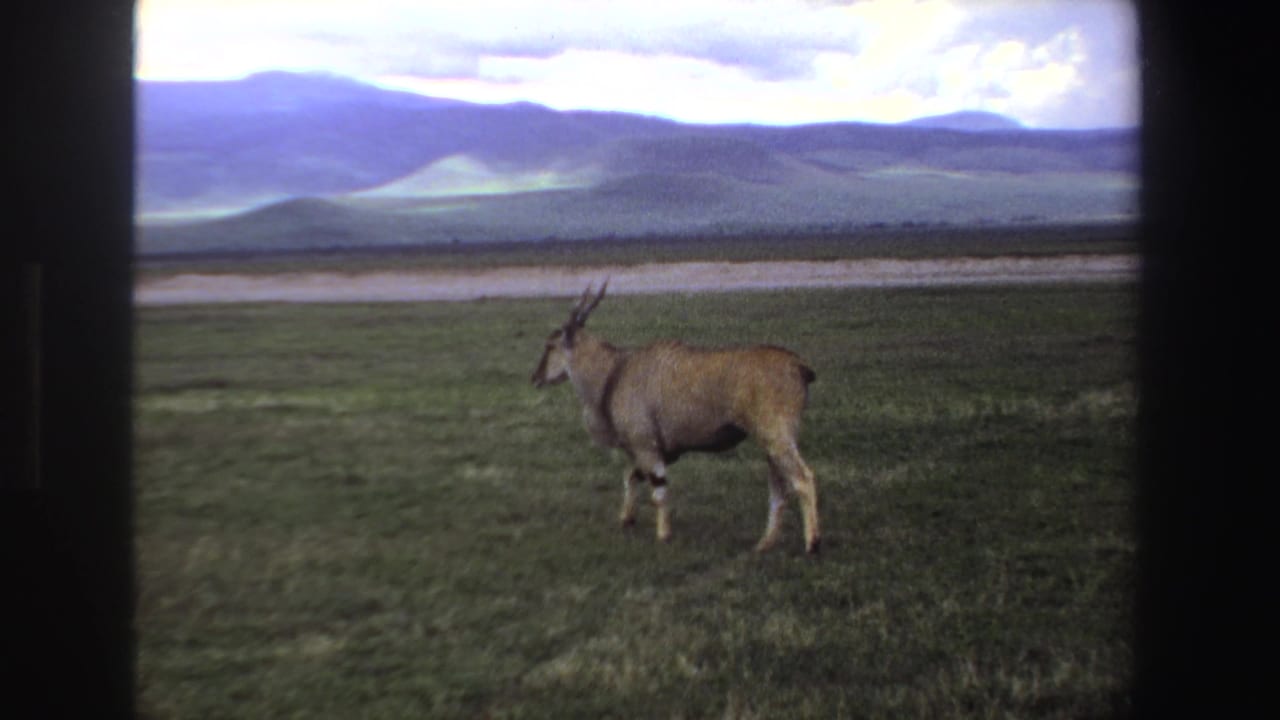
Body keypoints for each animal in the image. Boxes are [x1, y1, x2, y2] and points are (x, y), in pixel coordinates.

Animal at [530, 282, 821, 554]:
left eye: (550, 345)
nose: (536, 377)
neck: (615, 371)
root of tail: (798, 365)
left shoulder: (646, 447)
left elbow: (658, 491)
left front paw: (663, 535)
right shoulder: (655, 451)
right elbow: (632, 476)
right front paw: (627, 519)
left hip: (777, 438)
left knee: (802, 479)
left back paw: (812, 544)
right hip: (772, 445)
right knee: (779, 489)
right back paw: (764, 544)